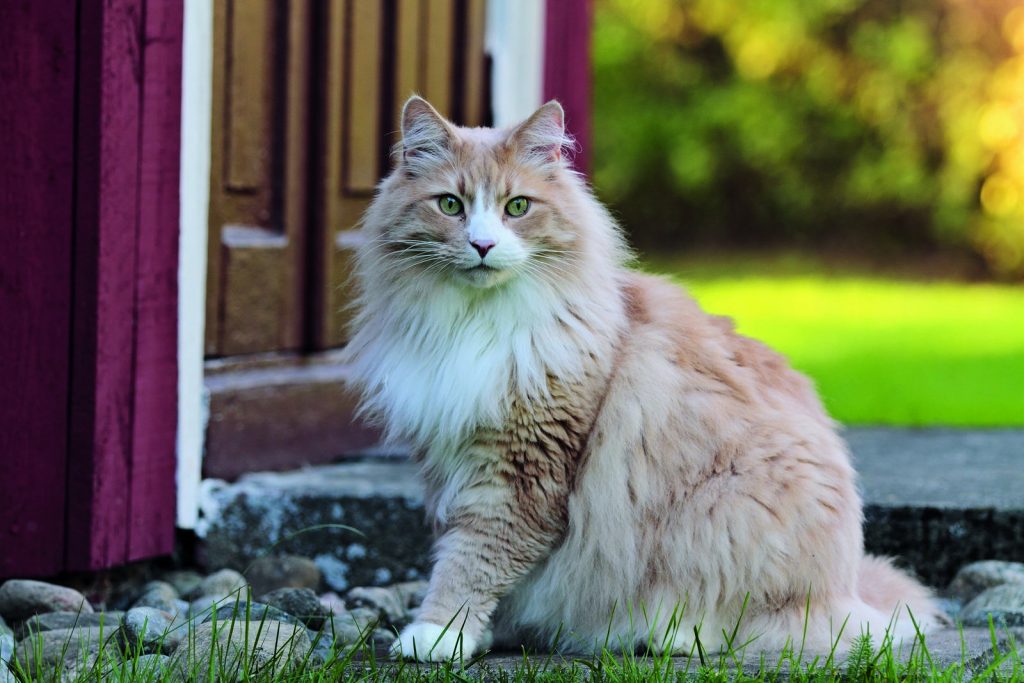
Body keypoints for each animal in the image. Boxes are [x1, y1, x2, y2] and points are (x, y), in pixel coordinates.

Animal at [344, 96, 942, 663]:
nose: (483, 246)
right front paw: (480, 633)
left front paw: (438, 634)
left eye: (517, 207)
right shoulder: (450, 460)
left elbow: (473, 561)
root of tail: (850, 587)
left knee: (755, 624)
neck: (474, 323)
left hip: (728, 514)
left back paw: (664, 634)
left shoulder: (521, 473)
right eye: (451, 205)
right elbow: (462, 552)